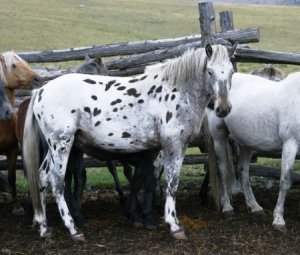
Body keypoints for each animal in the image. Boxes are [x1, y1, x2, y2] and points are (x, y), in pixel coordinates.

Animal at [22, 43, 238, 241]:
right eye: (210, 71)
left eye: (231, 72)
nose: (224, 109)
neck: (176, 90)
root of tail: (40, 91)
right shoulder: (172, 146)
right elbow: (171, 183)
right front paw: (174, 225)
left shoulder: (174, 148)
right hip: (62, 144)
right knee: (57, 181)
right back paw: (73, 229)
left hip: (54, 148)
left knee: (42, 177)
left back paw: (44, 228)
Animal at [206, 70, 300, 232]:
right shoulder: (290, 143)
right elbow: (285, 181)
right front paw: (278, 220)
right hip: (219, 137)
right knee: (223, 170)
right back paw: (227, 208)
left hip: (246, 145)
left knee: (242, 171)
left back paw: (254, 207)